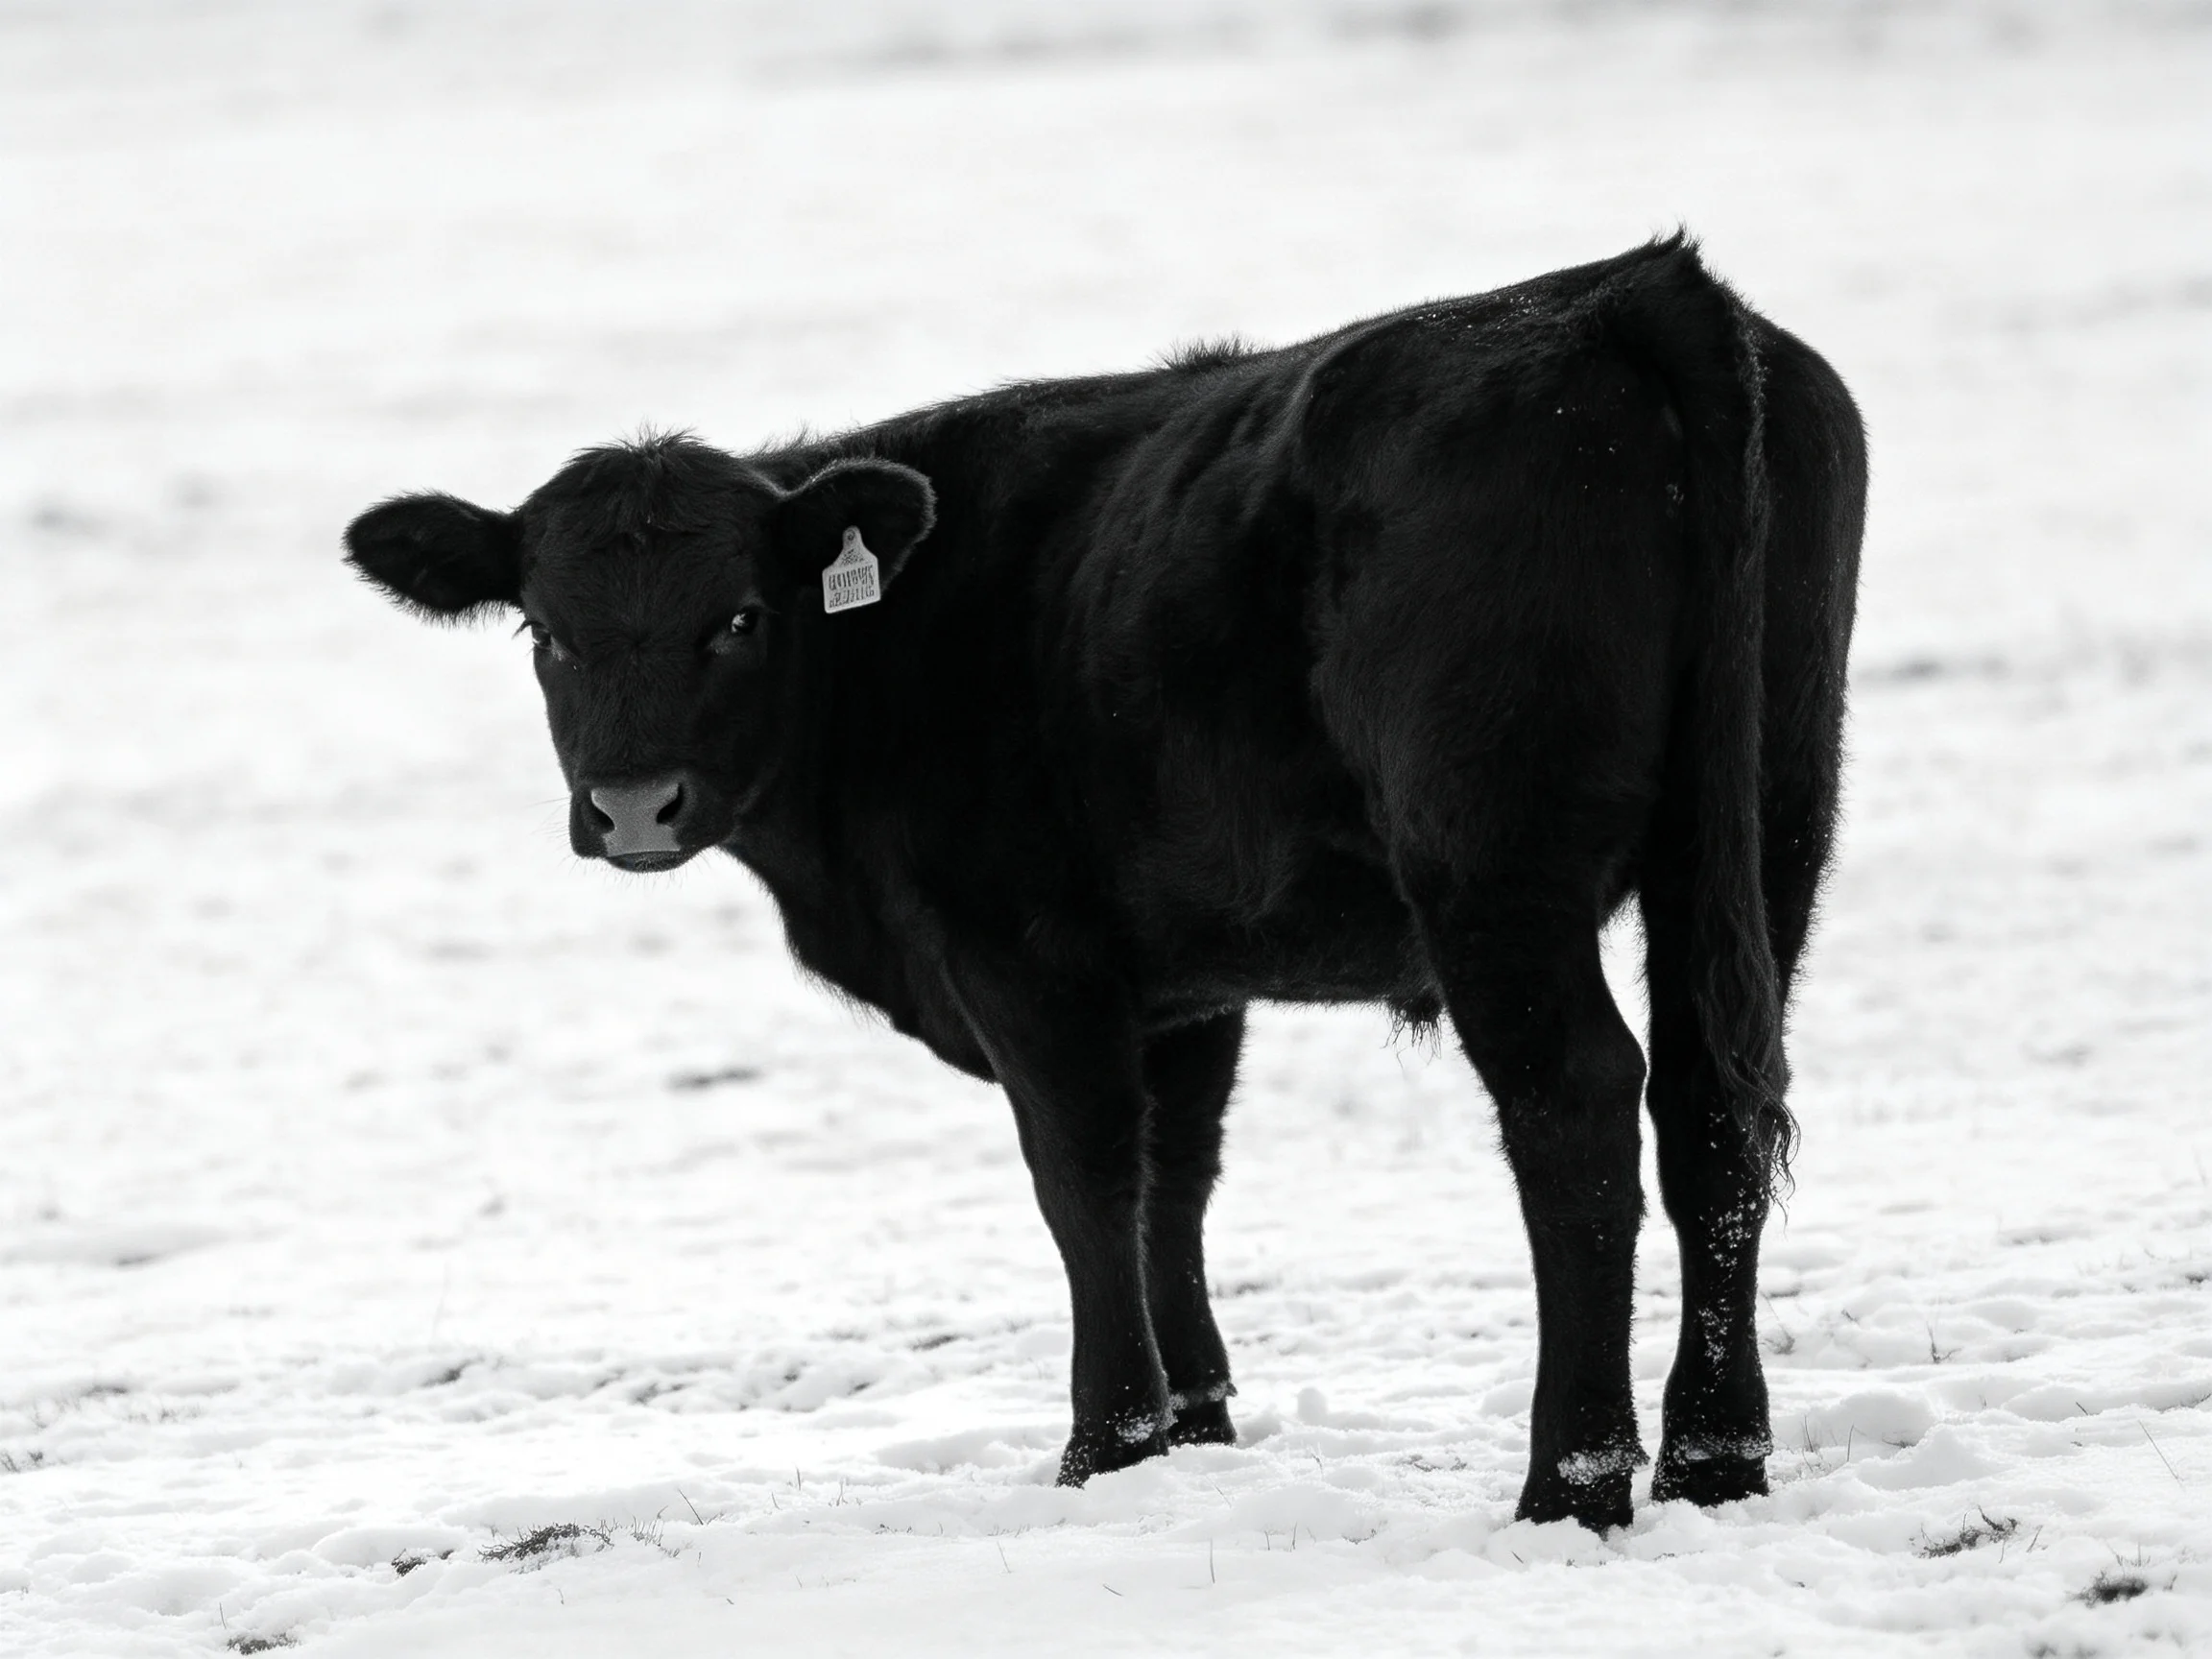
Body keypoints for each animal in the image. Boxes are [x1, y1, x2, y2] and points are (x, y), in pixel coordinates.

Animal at [345, 236, 1864, 1531]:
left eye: (739, 617)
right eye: (545, 633)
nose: (633, 805)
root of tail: (1617, 294)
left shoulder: (1025, 952)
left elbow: (1083, 1179)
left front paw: (1107, 1445)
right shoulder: (1186, 974)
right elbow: (1174, 1179)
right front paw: (1197, 1422)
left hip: (1493, 856)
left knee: (1579, 1108)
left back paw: (1574, 1482)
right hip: (1770, 821)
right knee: (1714, 1104)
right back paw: (1715, 1459)